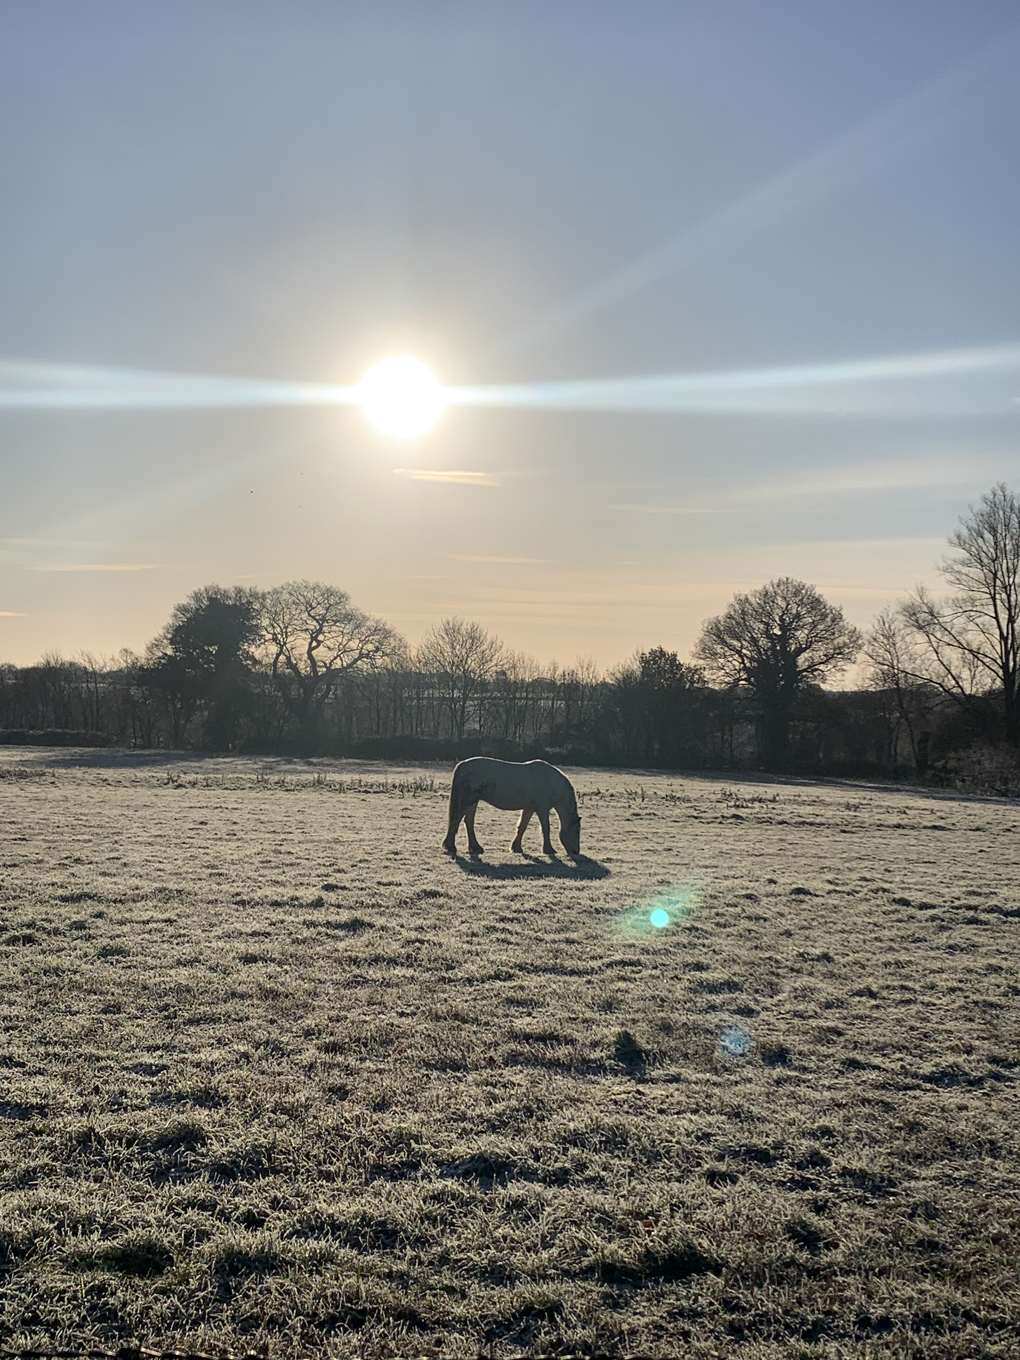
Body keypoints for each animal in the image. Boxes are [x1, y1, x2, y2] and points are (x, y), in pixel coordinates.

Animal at [446, 756, 582, 859]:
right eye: (576, 830)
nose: (576, 851)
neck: (551, 781)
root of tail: (462, 765)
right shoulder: (542, 808)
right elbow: (545, 828)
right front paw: (549, 849)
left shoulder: (529, 808)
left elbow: (522, 827)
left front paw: (516, 848)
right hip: (467, 801)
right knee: (456, 820)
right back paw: (450, 847)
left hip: (472, 802)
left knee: (468, 822)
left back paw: (475, 848)